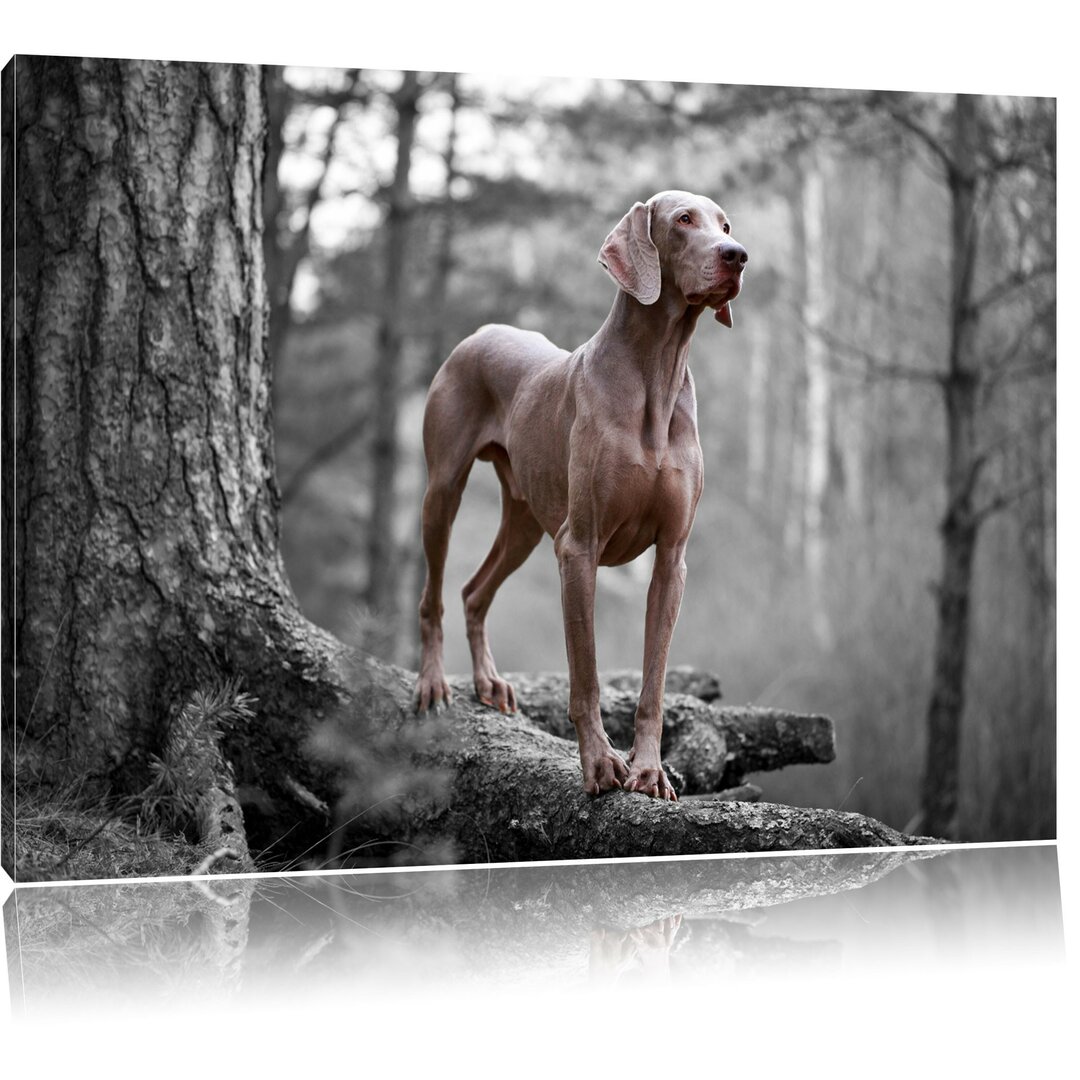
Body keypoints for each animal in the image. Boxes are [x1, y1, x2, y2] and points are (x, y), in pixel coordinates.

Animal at [416, 190, 747, 799]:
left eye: (726, 224)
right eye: (684, 220)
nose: (737, 256)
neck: (656, 374)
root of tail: (479, 332)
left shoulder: (672, 560)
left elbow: (653, 683)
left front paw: (648, 770)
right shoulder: (579, 547)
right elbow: (586, 675)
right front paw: (599, 765)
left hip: (525, 521)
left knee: (474, 591)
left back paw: (488, 682)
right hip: (443, 491)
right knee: (435, 596)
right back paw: (432, 685)